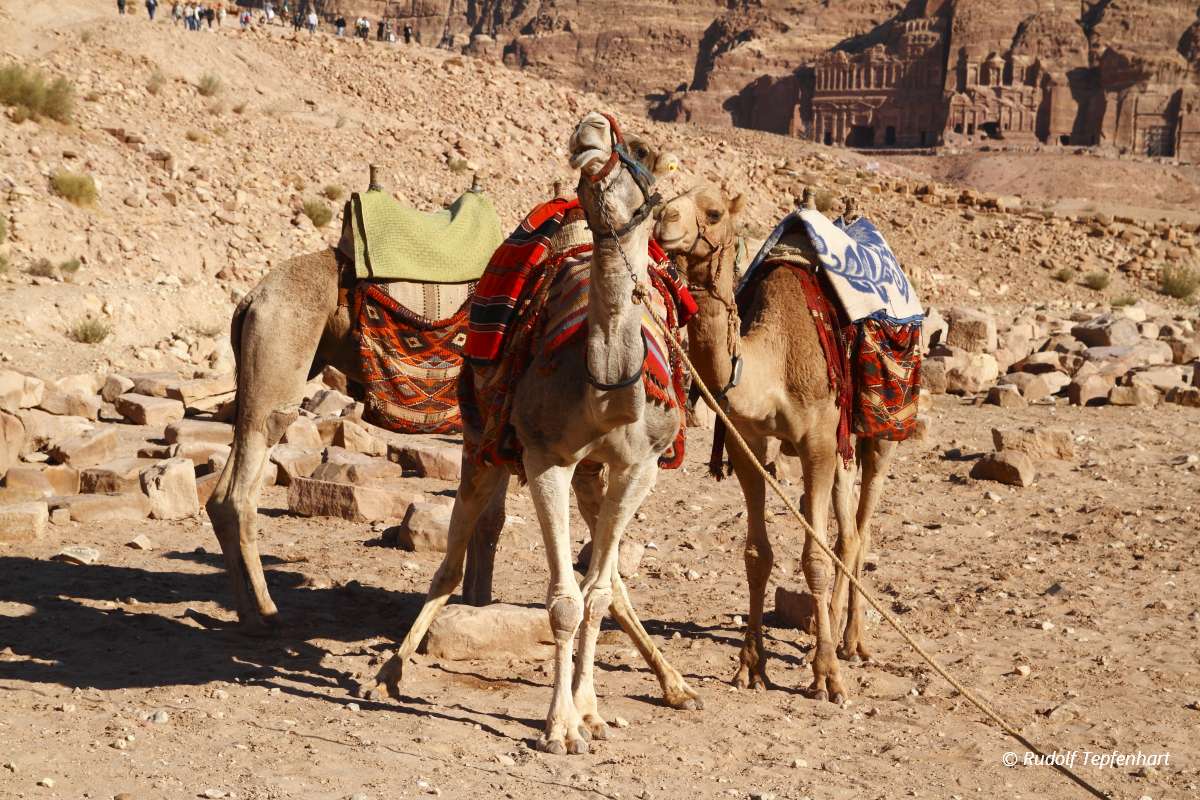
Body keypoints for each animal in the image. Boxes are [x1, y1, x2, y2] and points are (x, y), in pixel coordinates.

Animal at [358, 111, 700, 753]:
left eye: (643, 148)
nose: (591, 131)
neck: (605, 389)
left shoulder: (638, 466)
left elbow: (596, 596)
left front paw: (586, 710)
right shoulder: (545, 457)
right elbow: (564, 602)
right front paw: (560, 727)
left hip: (595, 475)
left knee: (610, 581)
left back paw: (669, 686)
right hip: (481, 445)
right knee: (452, 559)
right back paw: (389, 671)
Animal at [654, 183, 898, 702]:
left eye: (713, 211)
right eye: (669, 196)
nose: (664, 221)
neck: (772, 362)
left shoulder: (817, 442)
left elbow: (813, 557)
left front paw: (827, 678)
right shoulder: (748, 439)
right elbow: (756, 555)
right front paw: (750, 666)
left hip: (879, 433)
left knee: (861, 529)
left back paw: (851, 644)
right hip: (843, 446)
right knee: (847, 535)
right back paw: (827, 636)